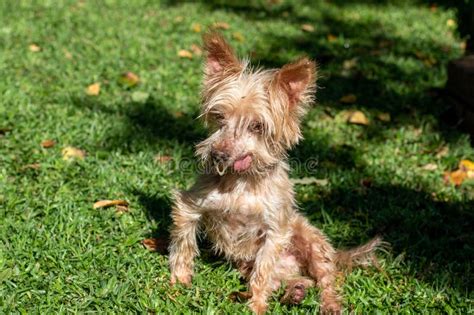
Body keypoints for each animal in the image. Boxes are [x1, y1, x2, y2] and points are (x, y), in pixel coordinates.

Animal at [168, 33, 384, 314]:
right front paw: (178, 282)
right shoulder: (190, 206)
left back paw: (327, 303)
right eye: (219, 117)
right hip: (252, 264)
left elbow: (263, 272)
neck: (243, 182)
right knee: (287, 280)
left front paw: (256, 306)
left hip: (311, 239)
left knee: (324, 278)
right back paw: (295, 292)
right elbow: (184, 244)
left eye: (257, 126)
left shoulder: (275, 231)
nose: (218, 154)